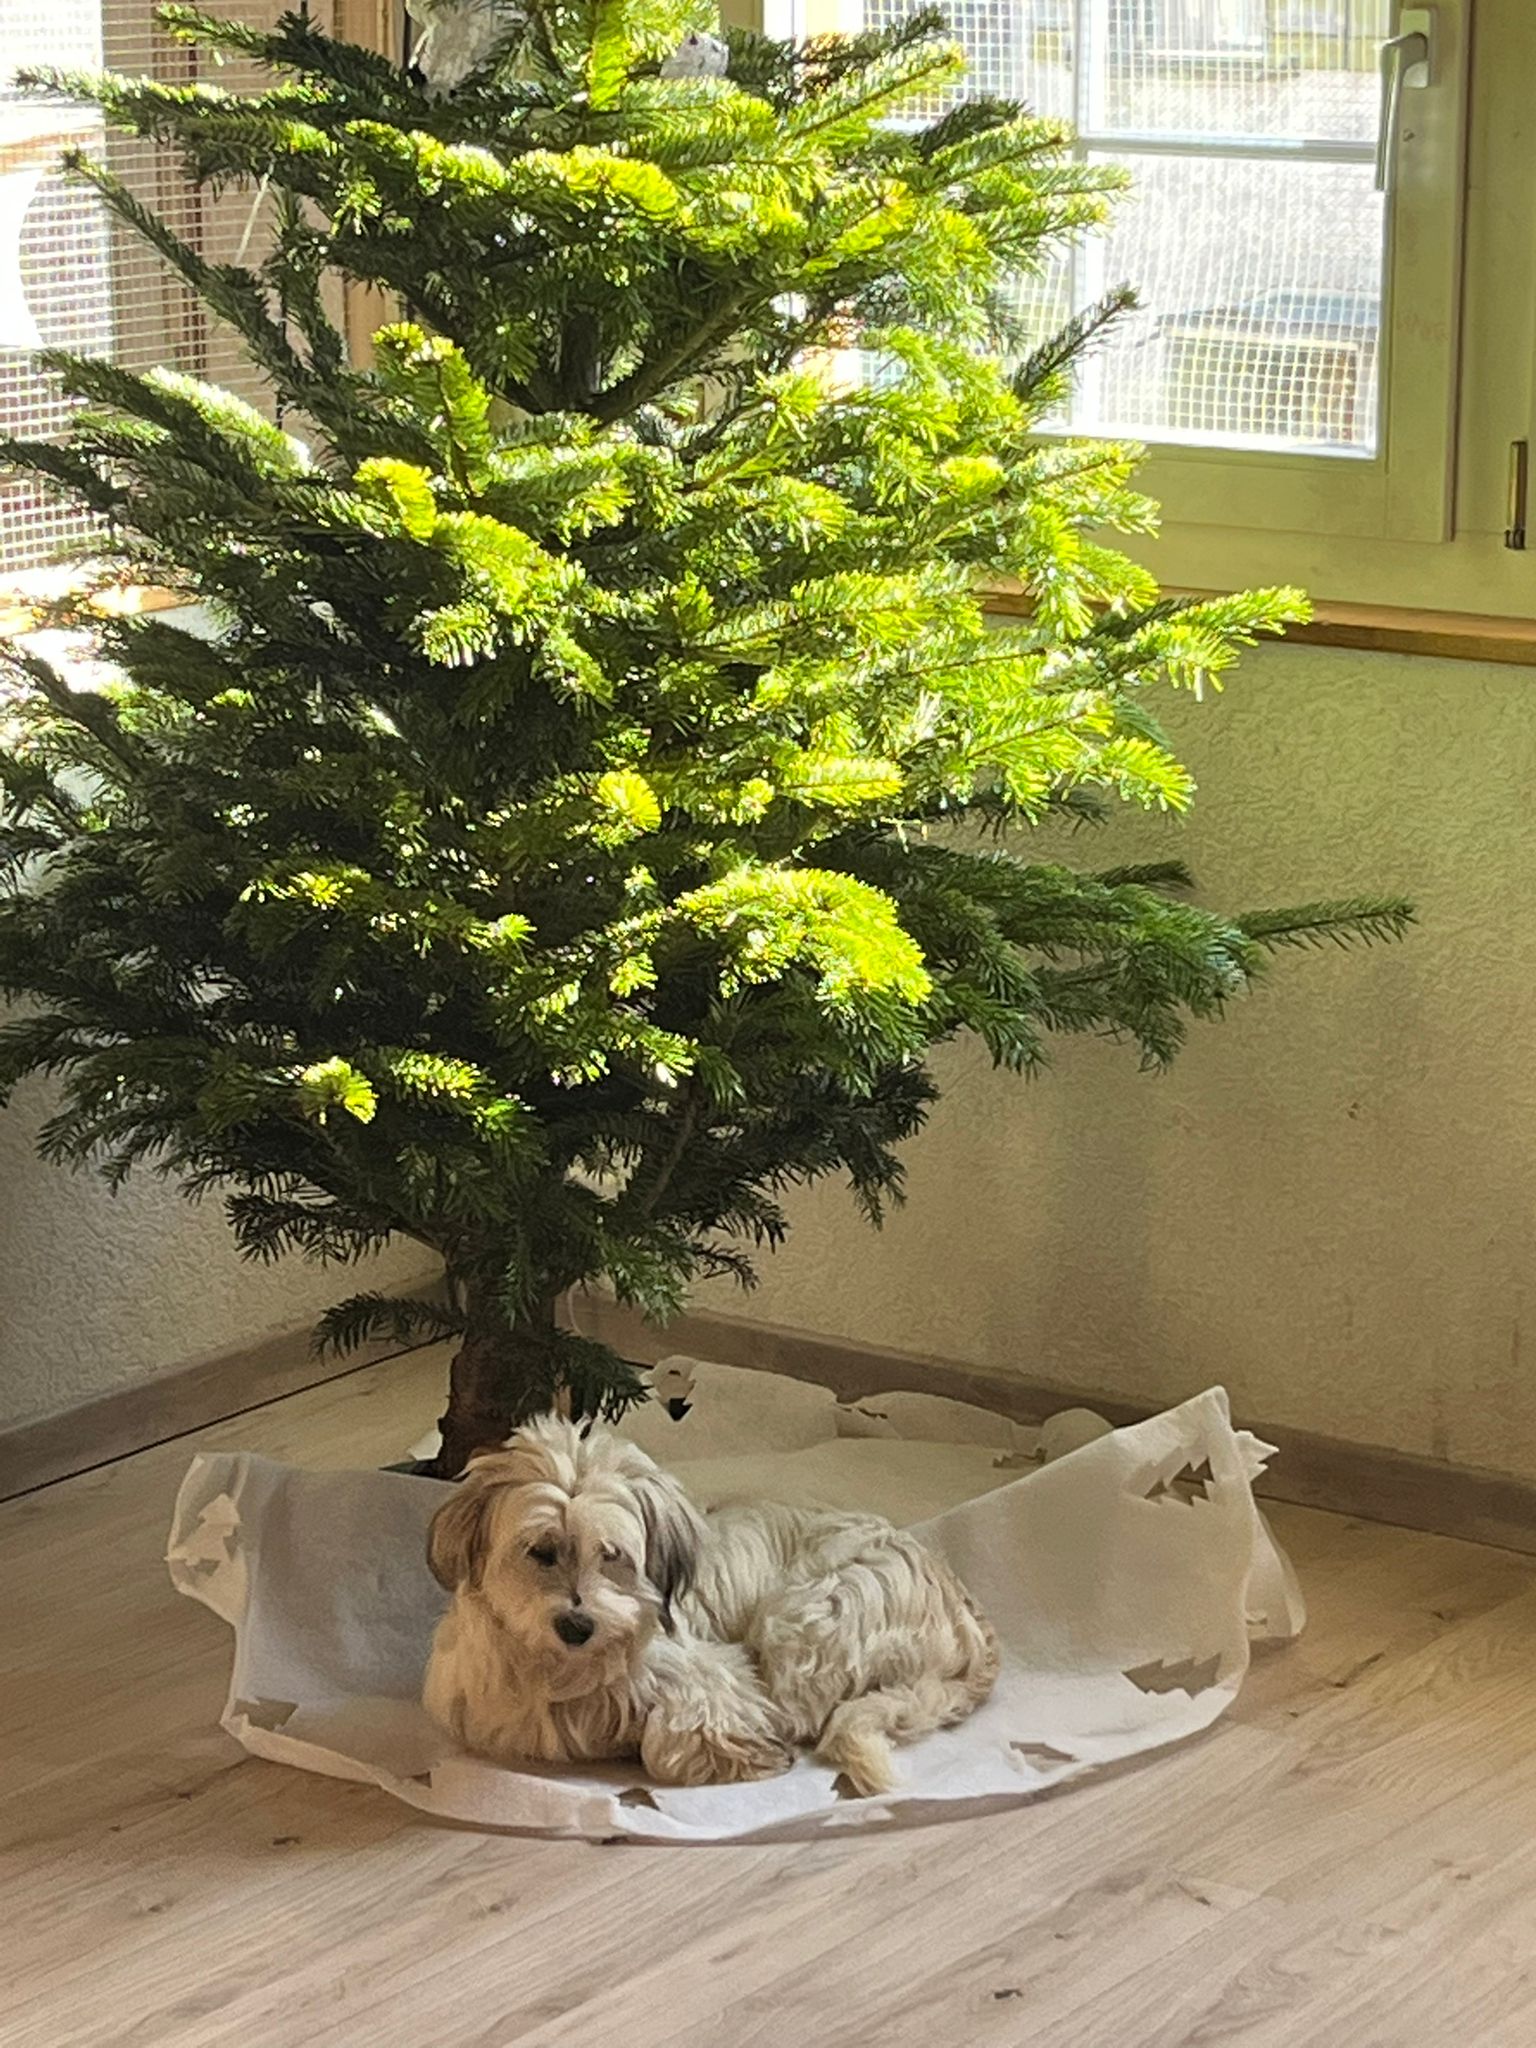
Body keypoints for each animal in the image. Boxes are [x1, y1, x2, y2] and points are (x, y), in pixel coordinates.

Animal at [422, 1414, 999, 1796]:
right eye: (540, 1550)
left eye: (612, 1554)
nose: (577, 1625)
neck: (567, 1670)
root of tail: (963, 1610)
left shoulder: (717, 1681)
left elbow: (670, 1745)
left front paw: (742, 1754)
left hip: (805, 1617)